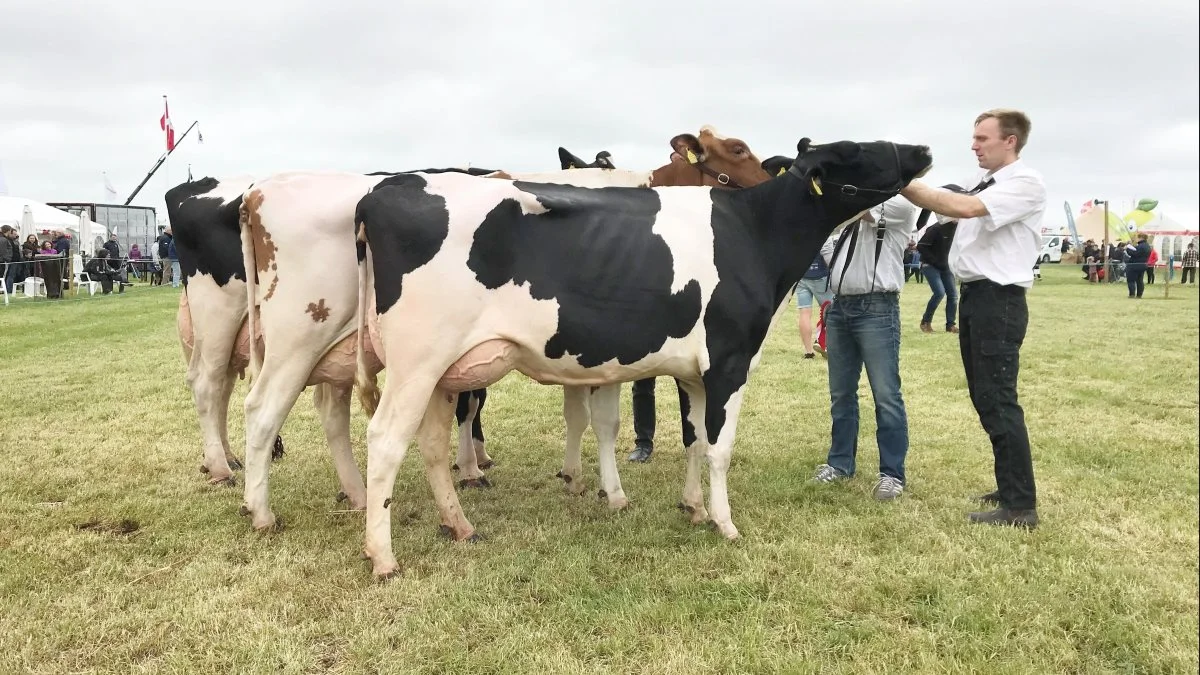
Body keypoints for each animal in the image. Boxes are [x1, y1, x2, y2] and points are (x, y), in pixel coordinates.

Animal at [350, 133, 931, 576]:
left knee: (430, 444)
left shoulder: (695, 374)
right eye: (859, 150)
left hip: (441, 373)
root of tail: (382, 189)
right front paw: (725, 523)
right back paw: (383, 557)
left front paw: (693, 508)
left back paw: (459, 525)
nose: (923, 149)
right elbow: (720, 448)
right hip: (416, 362)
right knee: (385, 442)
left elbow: (695, 440)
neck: (754, 234)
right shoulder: (730, 363)